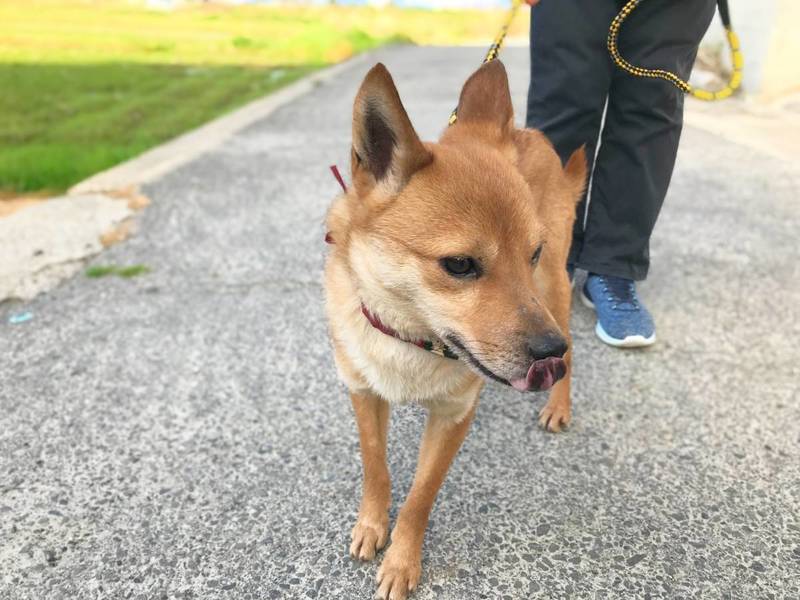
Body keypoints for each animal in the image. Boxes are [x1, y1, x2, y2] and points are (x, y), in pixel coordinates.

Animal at [324, 60, 586, 599]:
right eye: (460, 264)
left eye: (530, 252)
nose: (551, 352)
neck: (411, 338)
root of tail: (528, 133)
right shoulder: (362, 392)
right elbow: (375, 467)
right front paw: (372, 525)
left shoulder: (452, 415)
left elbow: (421, 496)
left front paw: (402, 562)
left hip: (554, 292)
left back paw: (560, 403)